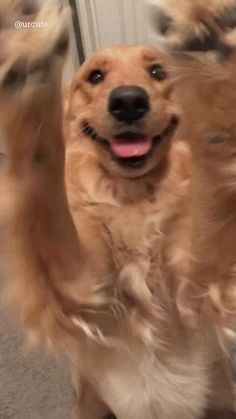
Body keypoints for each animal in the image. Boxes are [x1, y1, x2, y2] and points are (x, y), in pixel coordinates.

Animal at [0, 0, 235, 419]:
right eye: (95, 76)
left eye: (158, 71)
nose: (128, 101)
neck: (133, 198)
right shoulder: (80, 286)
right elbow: (41, 190)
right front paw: (29, 56)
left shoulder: (198, 278)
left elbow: (214, 187)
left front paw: (204, 38)